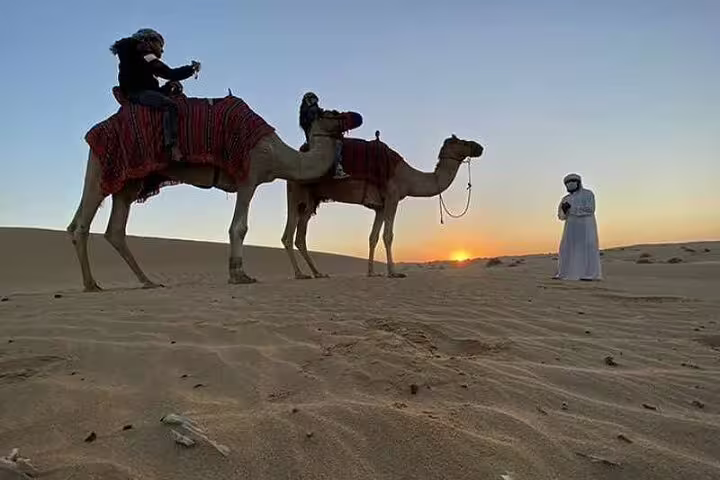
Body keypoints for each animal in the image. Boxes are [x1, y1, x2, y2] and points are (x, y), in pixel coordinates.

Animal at [67, 88, 362, 292]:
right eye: (333, 113)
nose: (357, 116)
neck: (277, 154)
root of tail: (95, 131)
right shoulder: (249, 176)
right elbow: (239, 227)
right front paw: (239, 275)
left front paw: (237, 273)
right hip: (103, 169)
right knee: (82, 223)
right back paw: (91, 284)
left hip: (128, 181)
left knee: (112, 229)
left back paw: (146, 281)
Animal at [282, 134, 484, 278]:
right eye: (463, 142)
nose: (479, 147)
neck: (408, 178)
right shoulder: (392, 197)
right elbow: (388, 235)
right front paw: (393, 272)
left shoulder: (380, 206)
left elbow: (373, 237)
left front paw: (372, 272)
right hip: (296, 190)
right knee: (288, 234)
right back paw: (300, 274)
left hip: (310, 199)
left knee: (300, 235)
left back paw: (318, 273)